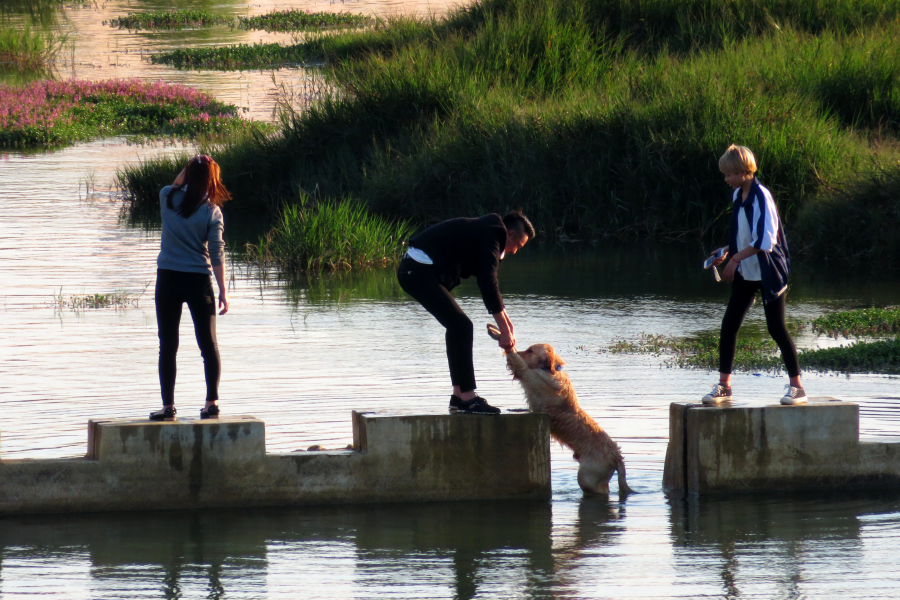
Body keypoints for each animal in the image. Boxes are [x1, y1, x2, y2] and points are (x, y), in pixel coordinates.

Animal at [486, 326, 632, 494]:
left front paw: (498, 334)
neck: (549, 370)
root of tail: (616, 455)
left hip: (587, 477)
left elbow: (516, 358)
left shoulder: (528, 374)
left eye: (530, 351)